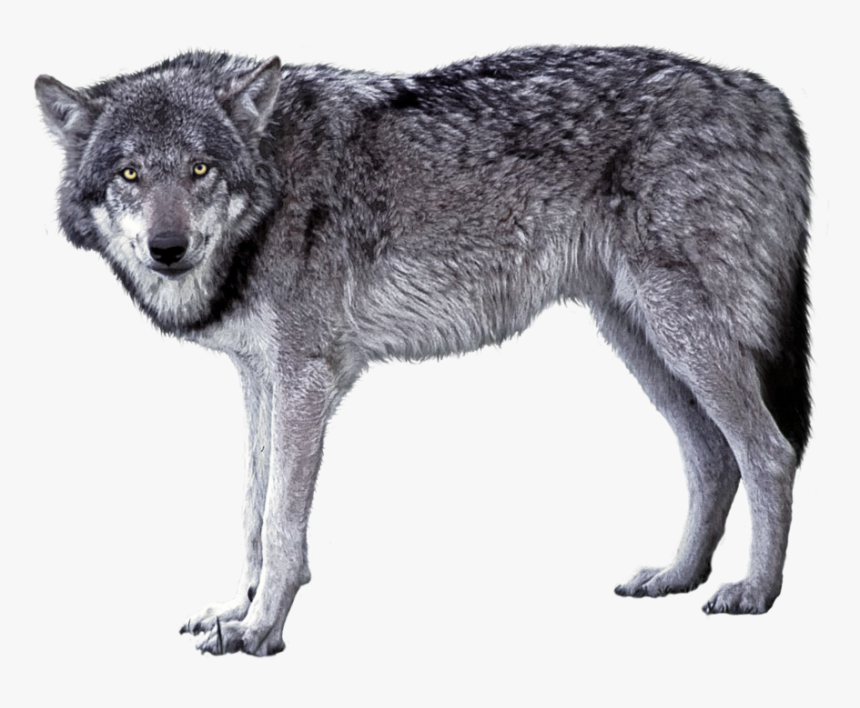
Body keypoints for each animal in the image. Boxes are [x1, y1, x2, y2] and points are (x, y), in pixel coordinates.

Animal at [36, 46, 811, 656]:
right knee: (712, 458)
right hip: (641, 340)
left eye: (200, 169)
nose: (168, 247)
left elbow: (282, 522)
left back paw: (755, 592)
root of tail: (767, 96)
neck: (274, 180)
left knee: (770, 452)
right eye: (131, 174)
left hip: (680, 332)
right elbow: (253, 511)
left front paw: (262, 630)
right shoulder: (260, 377)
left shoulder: (304, 380)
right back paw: (677, 577)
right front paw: (236, 609)